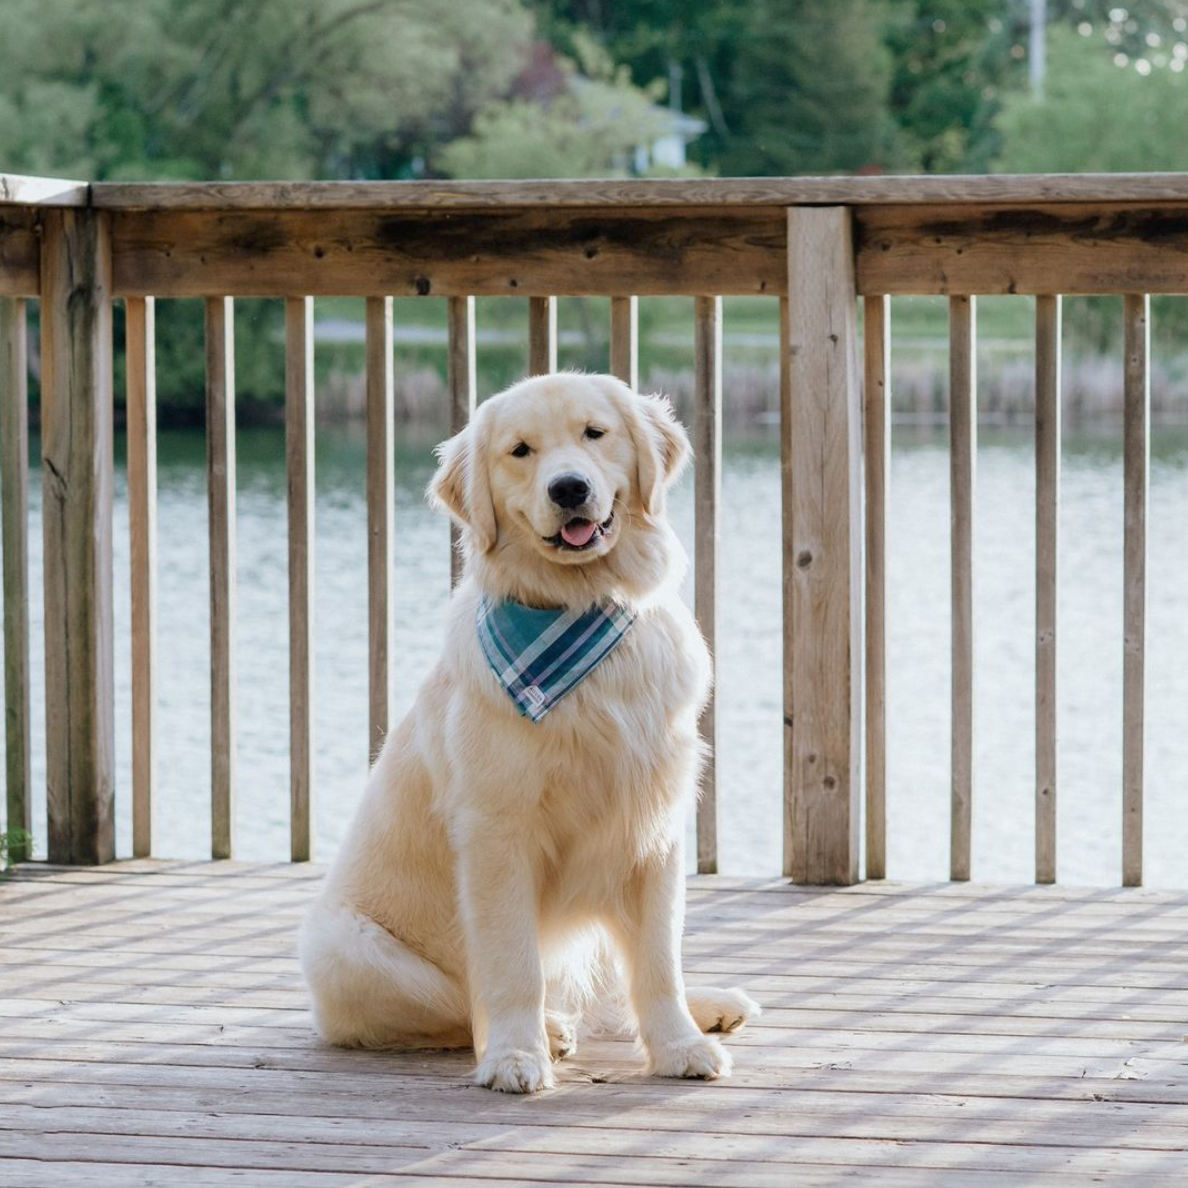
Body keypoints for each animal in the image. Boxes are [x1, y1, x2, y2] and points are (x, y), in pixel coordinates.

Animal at [299, 373, 760, 1092]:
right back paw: (548, 1031)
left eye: (595, 434)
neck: (581, 609)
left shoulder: (651, 825)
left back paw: (707, 1007)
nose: (568, 488)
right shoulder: (498, 832)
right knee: (457, 1005)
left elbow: (658, 960)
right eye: (520, 451)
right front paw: (516, 1054)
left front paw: (680, 1045)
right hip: (345, 949)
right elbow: (513, 964)